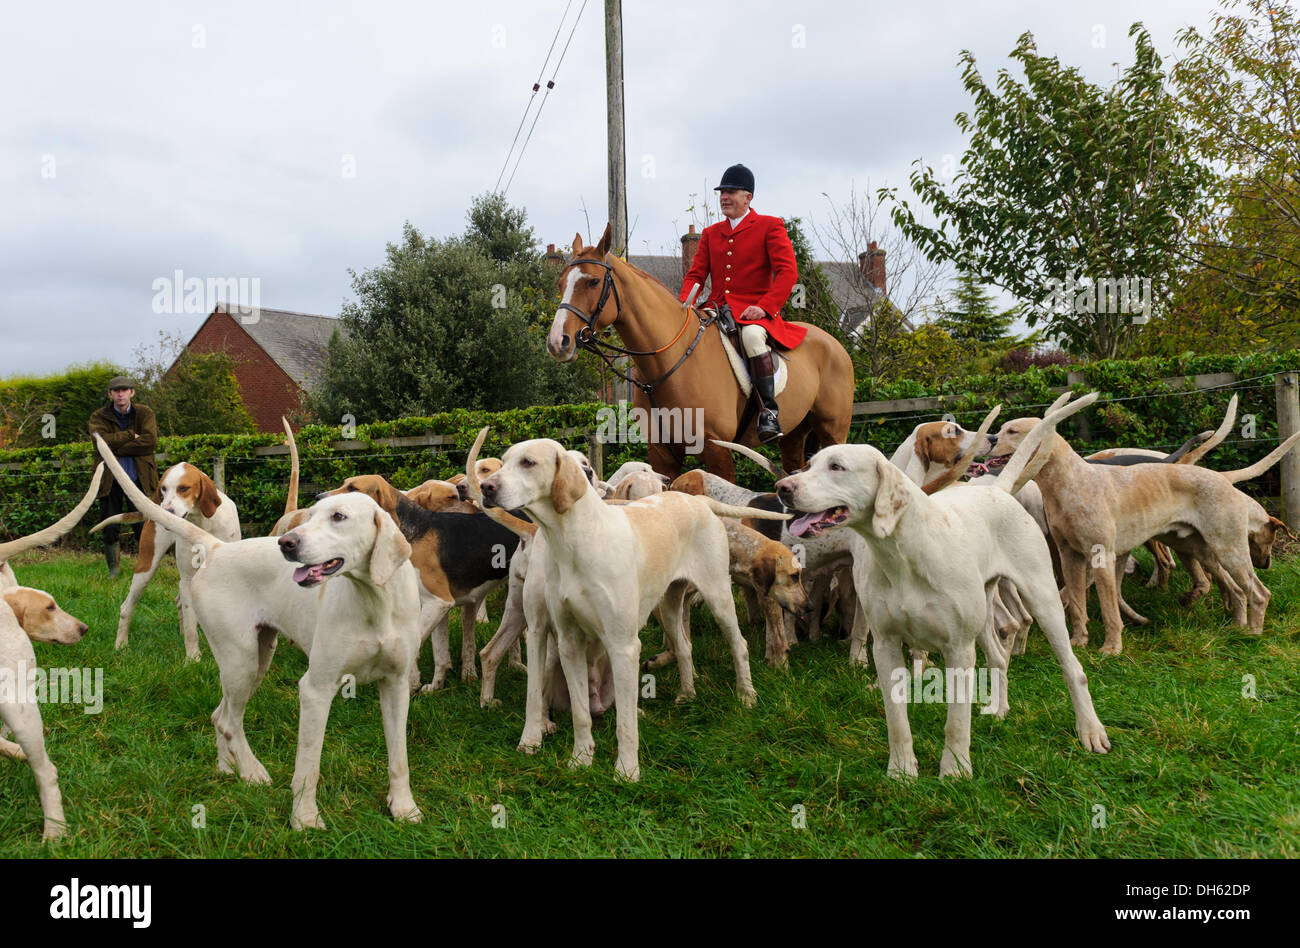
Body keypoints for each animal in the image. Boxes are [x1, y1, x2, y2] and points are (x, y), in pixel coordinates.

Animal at [546, 224, 857, 481]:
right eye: (560, 284)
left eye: (593, 282)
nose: (558, 341)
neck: (668, 362)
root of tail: (834, 344)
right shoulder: (662, 456)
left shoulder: (717, 451)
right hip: (794, 435)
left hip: (833, 431)